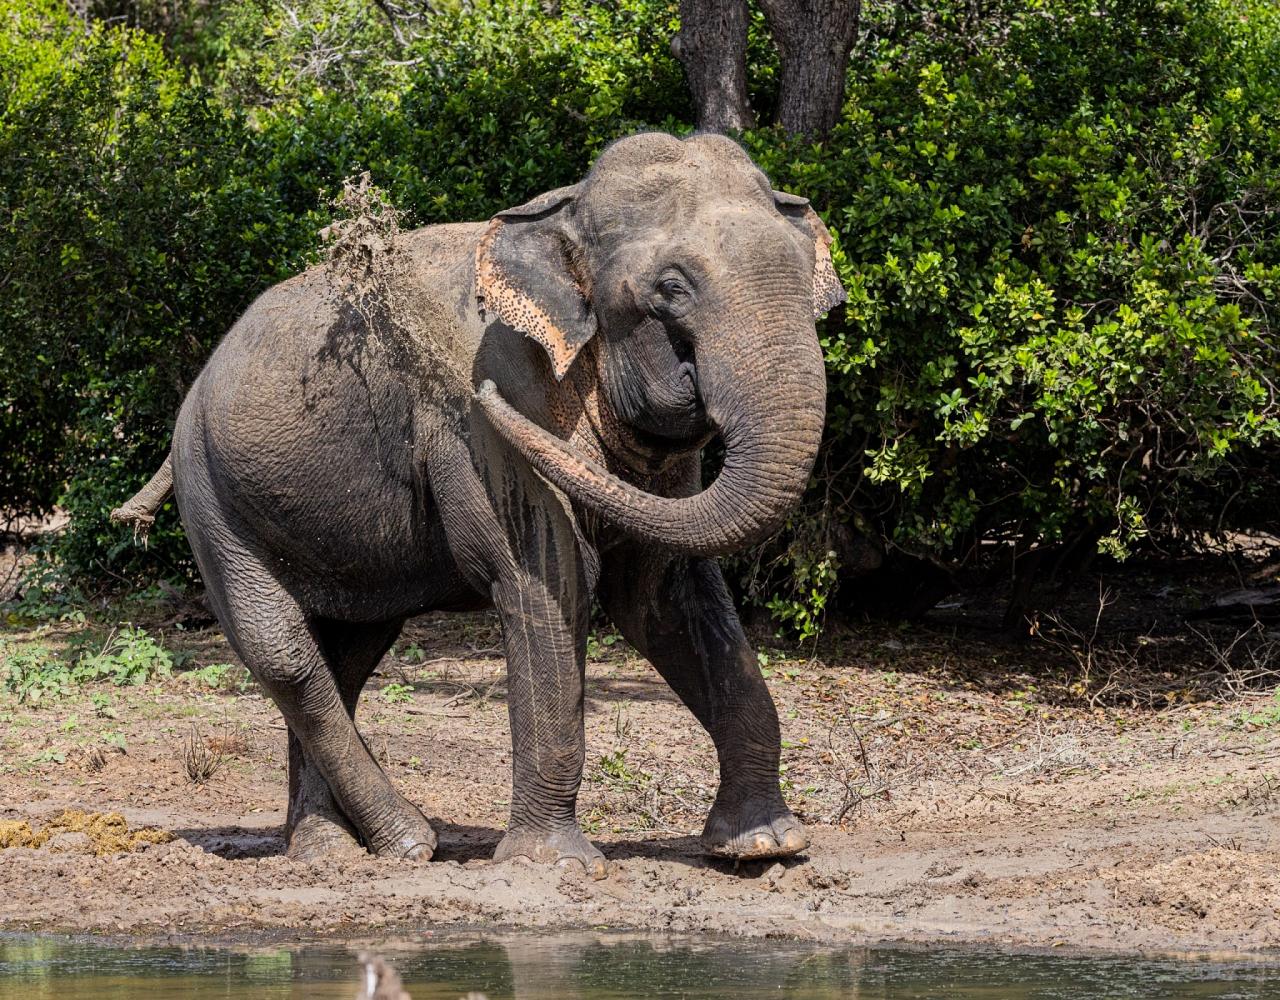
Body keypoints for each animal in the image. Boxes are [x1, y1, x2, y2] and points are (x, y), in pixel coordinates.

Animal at [115, 130, 844, 875]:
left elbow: (664, 593)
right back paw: (405, 843)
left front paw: (763, 847)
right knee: (286, 655)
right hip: (212, 494)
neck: (560, 210)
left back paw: (329, 849)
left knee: (347, 656)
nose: (483, 398)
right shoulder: (490, 422)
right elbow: (548, 579)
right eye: (671, 288)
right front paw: (554, 864)